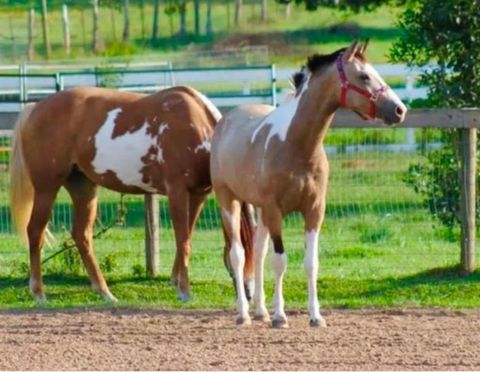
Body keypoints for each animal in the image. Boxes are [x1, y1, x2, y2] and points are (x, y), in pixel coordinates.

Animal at [9, 85, 255, 304]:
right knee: (35, 232)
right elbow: (183, 241)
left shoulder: (198, 195)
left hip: (84, 188)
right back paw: (39, 293)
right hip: (46, 188)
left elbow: (187, 238)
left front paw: (176, 281)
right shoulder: (177, 192)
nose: (250, 292)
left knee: (82, 235)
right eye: (243, 249)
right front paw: (185, 291)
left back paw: (105, 293)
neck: (196, 126)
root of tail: (35, 107)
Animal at [212, 39, 406, 326]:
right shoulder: (276, 210)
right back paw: (244, 314)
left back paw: (260, 311)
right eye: (364, 76)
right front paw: (280, 316)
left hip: (259, 209)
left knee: (257, 251)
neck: (296, 145)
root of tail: (226, 119)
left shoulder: (314, 210)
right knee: (238, 254)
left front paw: (315, 316)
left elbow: (310, 263)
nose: (400, 110)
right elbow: (280, 261)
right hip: (229, 201)